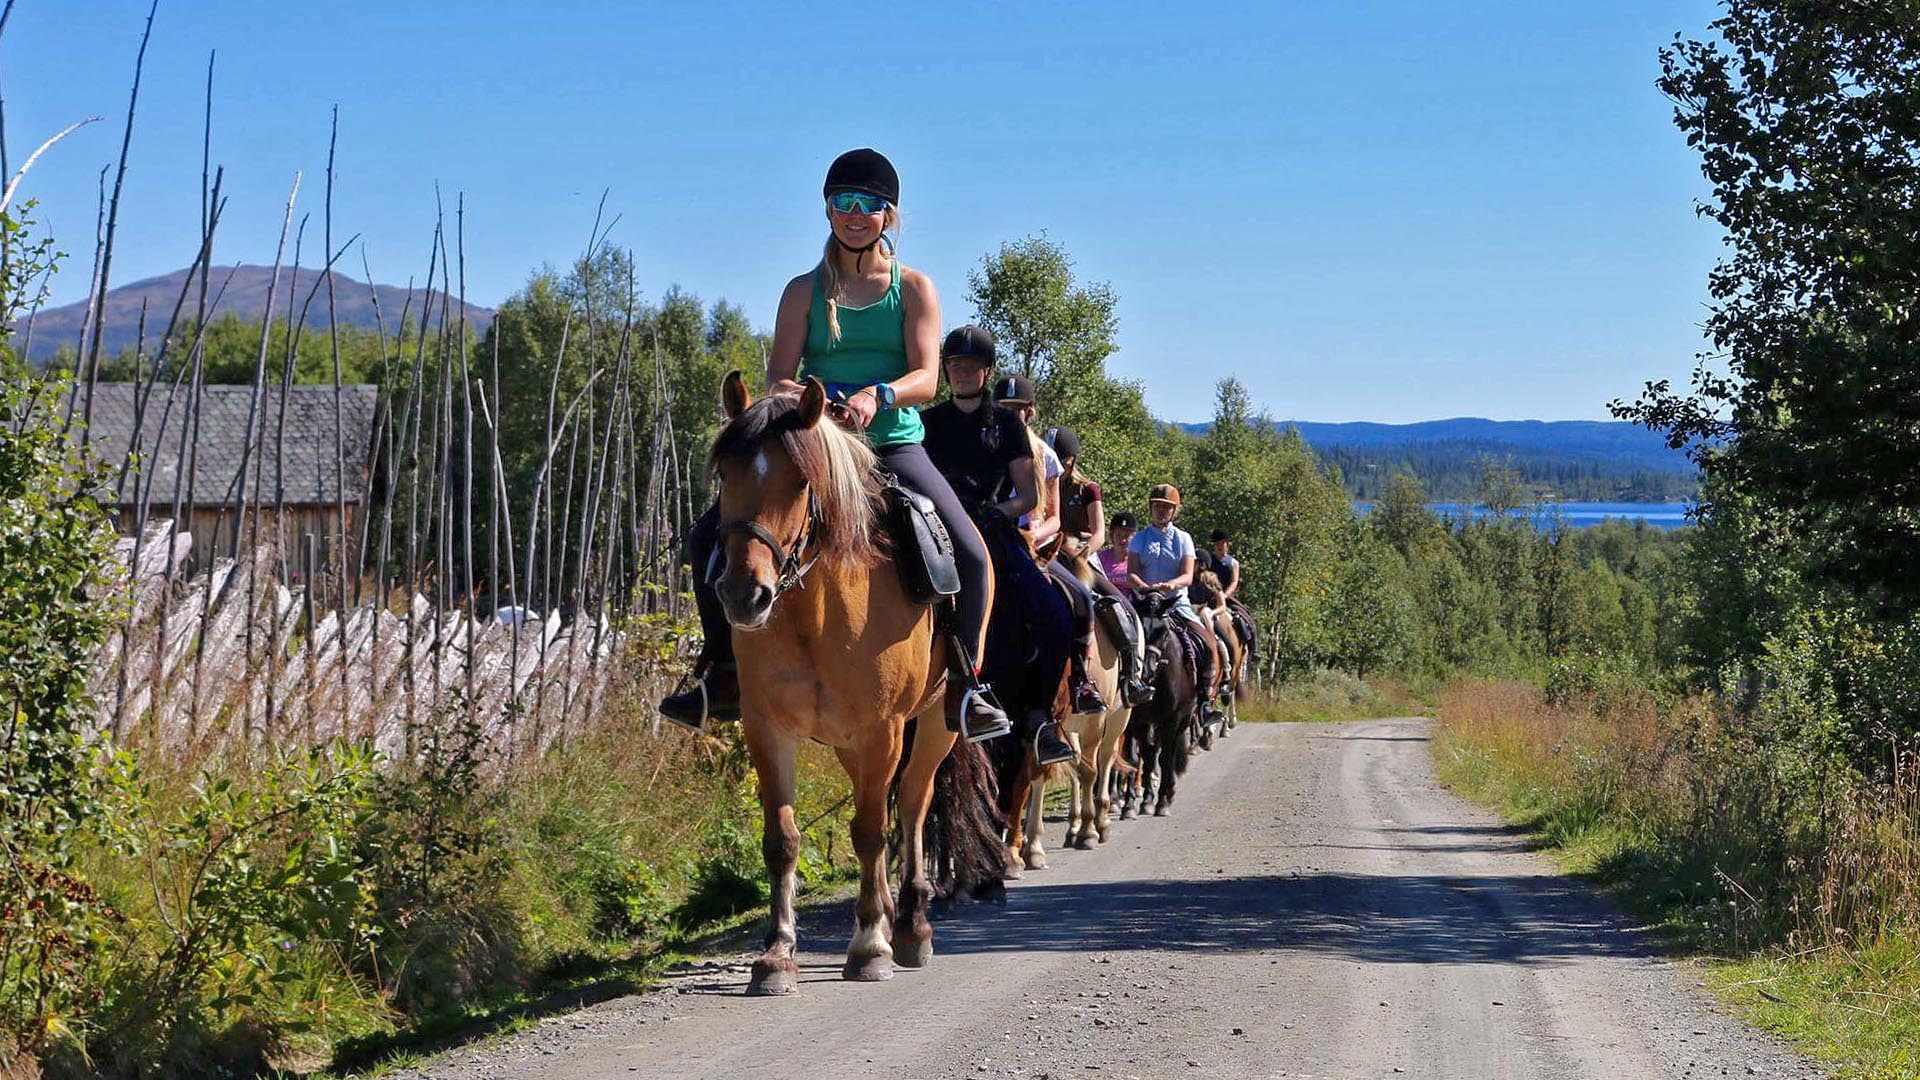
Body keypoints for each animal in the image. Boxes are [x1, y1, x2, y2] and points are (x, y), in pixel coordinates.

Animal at [706, 372, 967, 991]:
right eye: (723, 473)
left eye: (802, 481)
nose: (743, 595)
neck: (815, 613)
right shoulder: (768, 729)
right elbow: (782, 839)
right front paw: (776, 953)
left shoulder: (883, 730)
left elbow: (871, 830)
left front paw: (869, 946)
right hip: (850, 742)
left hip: (934, 723)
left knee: (913, 804)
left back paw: (910, 926)